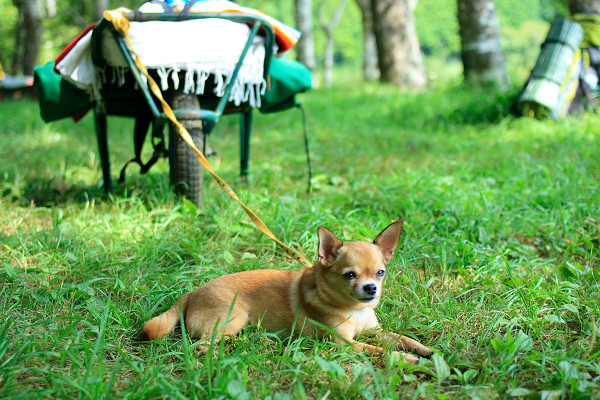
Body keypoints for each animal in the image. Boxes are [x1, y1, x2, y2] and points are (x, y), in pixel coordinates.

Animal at [144, 220, 434, 364]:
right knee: (202, 346)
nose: (371, 288)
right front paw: (406, 358)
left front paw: (425, 350)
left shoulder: (374, 332)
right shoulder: (345, 343)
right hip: (233, 318)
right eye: (350, 275)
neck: (354, 310)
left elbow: (400, 337)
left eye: (380, 273)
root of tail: (190, 294)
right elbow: (379, 350)